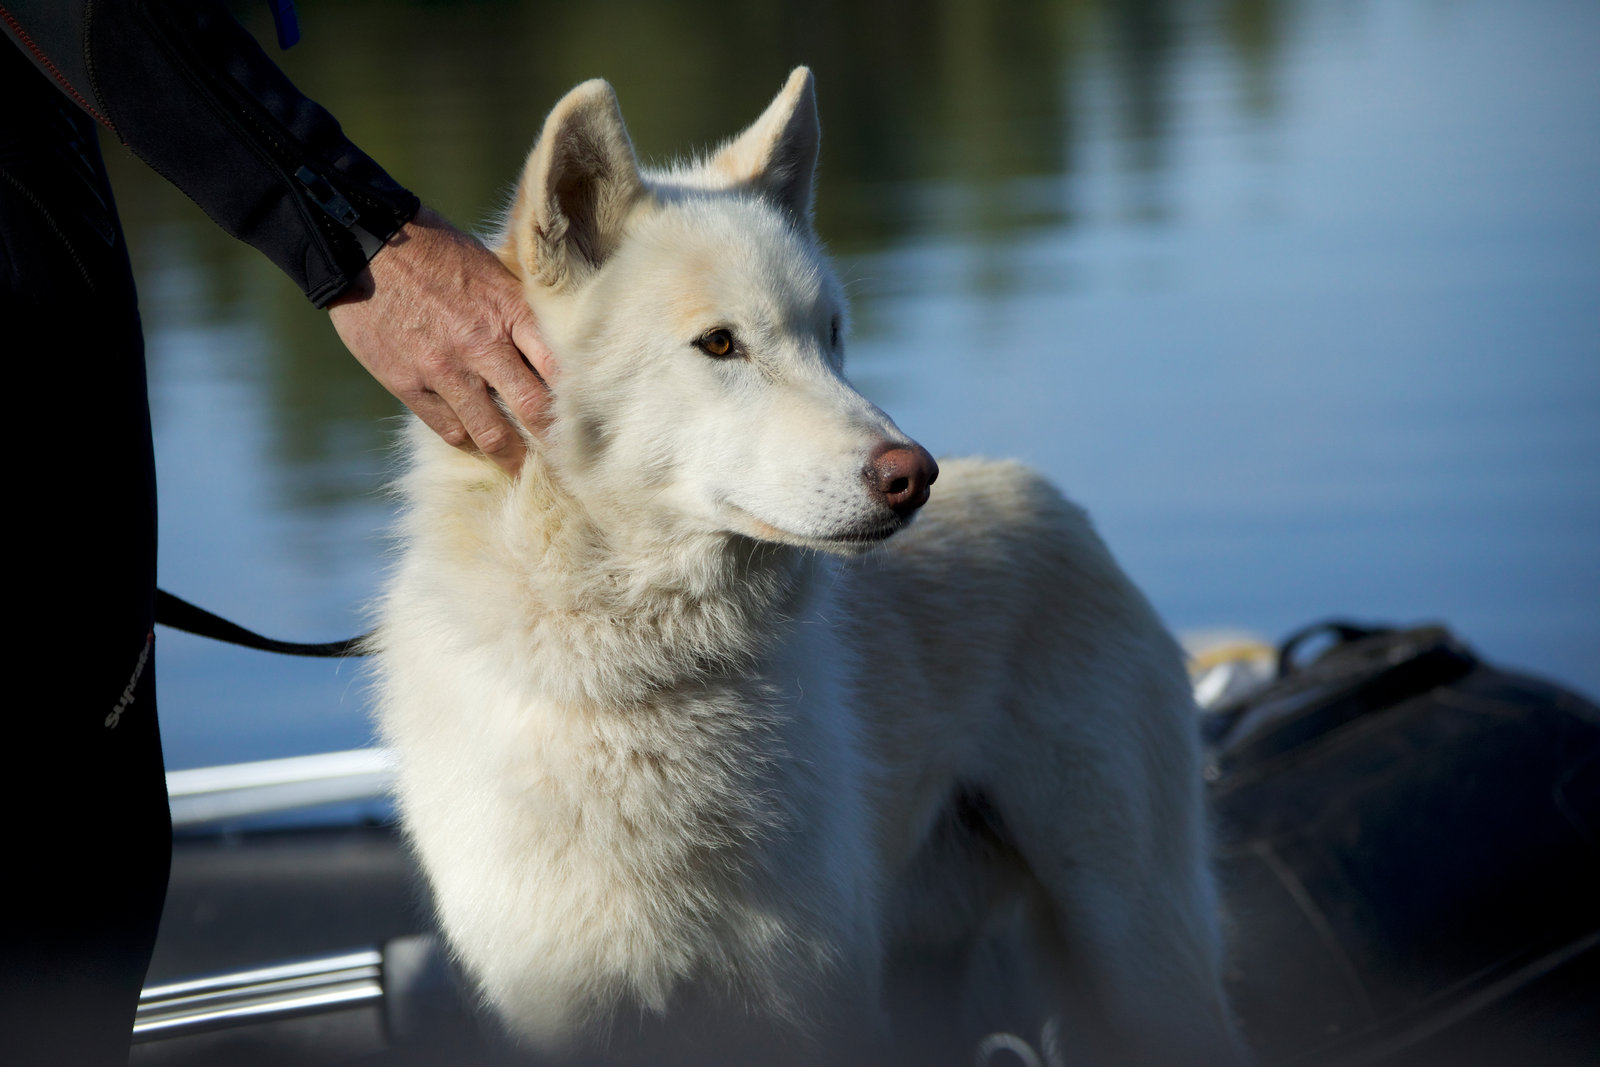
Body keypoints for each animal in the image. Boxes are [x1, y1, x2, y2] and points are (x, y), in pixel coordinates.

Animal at [371, 70, 1235, 1062]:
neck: (643, 681)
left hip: (1138, 956)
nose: (913, 476)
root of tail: (1052, 496)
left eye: (831, 337)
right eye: (720, 344)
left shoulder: (803, 1003)